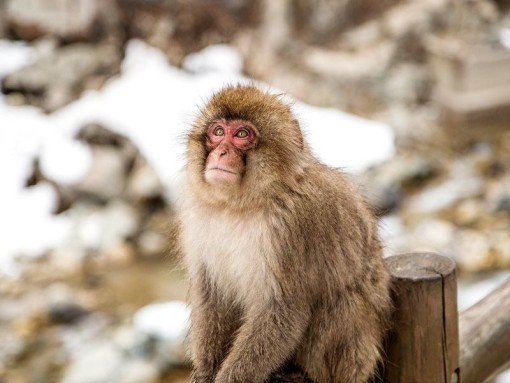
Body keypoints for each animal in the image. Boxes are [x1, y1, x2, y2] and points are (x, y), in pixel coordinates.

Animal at [177, 85, 392, 382]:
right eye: (218, 131)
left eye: (242, 135)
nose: (220, 152)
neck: (241, 204)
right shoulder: (197, 217)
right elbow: (212, 296)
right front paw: (205, 371)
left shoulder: (294, 226)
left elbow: (283, 310)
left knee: (344, 301)